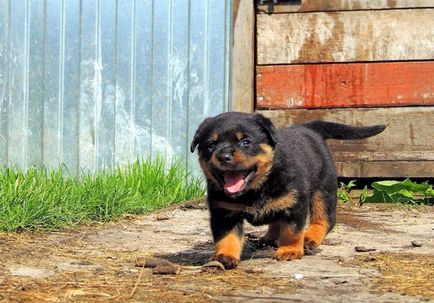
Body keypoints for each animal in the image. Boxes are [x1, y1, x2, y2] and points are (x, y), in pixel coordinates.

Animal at [190, 113, 386, 270]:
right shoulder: (224, 212)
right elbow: (226, 237)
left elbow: (292, 231)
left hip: (324, 188)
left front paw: (290, 250)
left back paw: (309, 238)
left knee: (324, 218)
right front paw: (225, 256)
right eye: (210, 145)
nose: (223, 156)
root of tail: (308, 128)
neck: (257, 187)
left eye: (245, 142)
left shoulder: (295, 203)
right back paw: (270, 237)